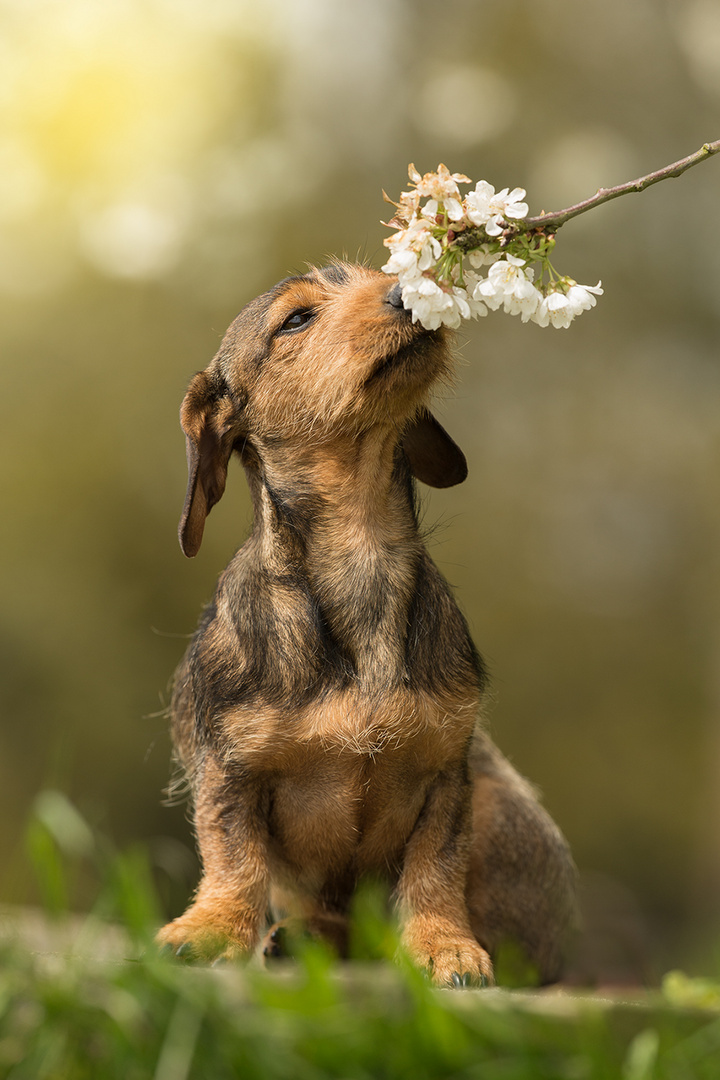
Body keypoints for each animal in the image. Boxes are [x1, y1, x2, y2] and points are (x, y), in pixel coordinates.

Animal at [157, 261, 574, 989]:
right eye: (296, 319)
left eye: (376, 272)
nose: (411, 293)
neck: (363, 551)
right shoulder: (228, 772)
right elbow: (235, 861)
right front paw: (211, 930)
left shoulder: (446, 777)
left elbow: (435, 871)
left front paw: (444, 946)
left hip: (499, 804)